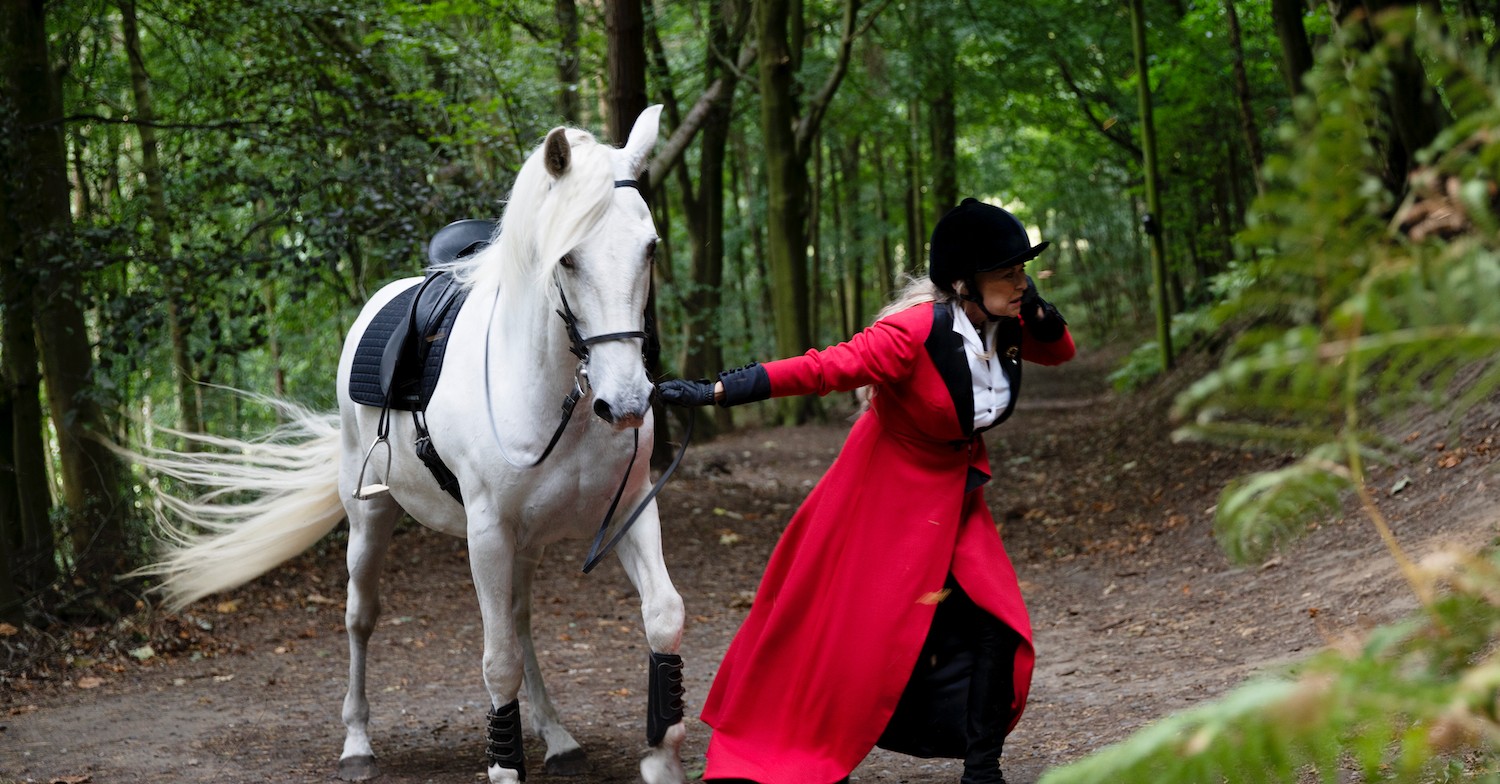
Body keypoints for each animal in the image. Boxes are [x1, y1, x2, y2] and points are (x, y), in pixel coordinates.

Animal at [128, 105, 687, 784]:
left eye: (649, 248)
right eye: (568, 258)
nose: (626, 402)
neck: (557, 397)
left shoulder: (629, 509)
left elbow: (662, 618)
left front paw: (662, 756)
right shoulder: (486, 532)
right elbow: (496, 659)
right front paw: (504, 767)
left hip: (524, 543)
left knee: (520, 621)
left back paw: (556, 735)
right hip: (370, 519)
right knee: (361, 617)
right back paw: (357, 743)